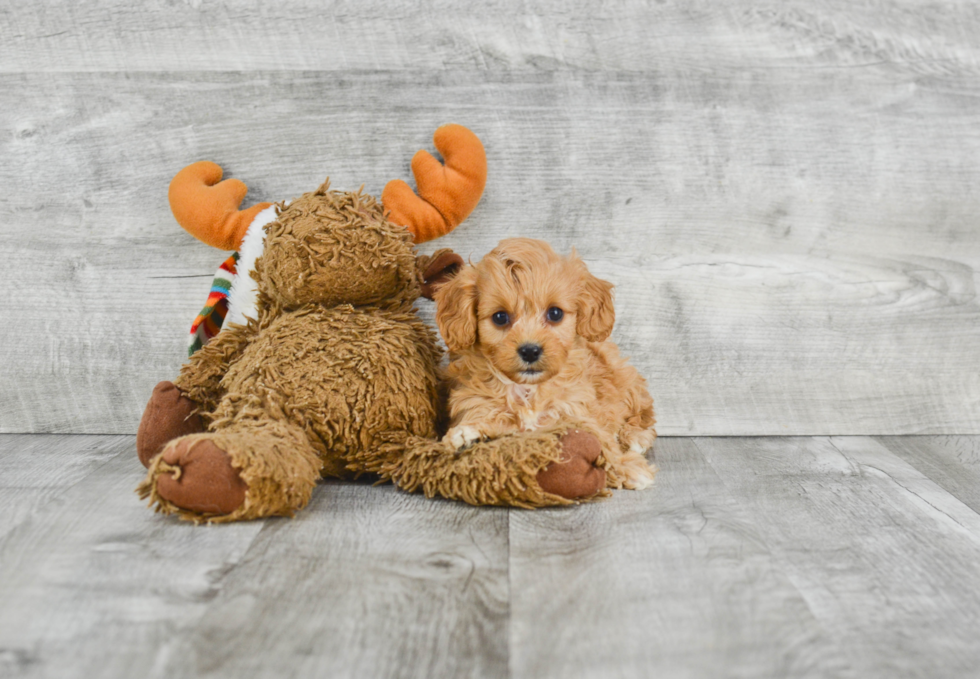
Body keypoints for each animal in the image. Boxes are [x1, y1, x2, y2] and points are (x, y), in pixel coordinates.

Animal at [436, 238, 660, 488]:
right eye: (500, 317)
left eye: (555, 313)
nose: (530, 351)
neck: (528, 390)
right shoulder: (476, 405)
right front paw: (467, 436)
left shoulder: (576, 411)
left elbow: (601, 438)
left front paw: (627, 466)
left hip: (624, 376)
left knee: (643, 414)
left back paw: (636, 437)